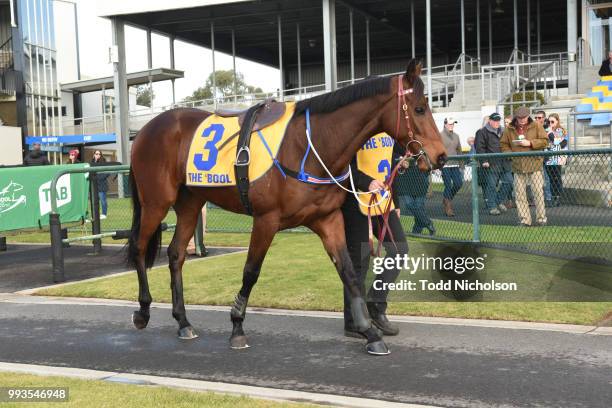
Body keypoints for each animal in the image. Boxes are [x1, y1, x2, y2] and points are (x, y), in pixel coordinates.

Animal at [126, 59, 448, 354]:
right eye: (420, 108)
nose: (441, 156)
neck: (308, 146)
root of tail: (145, 130)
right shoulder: (266, 220)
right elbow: (251, 271)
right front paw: (237, 326)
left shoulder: (328, 219)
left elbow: (348, 271)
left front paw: (370, 332)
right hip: (156, 202)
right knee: (140, 247)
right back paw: (143, 311)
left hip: (190, 203)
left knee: (176, 255)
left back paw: (183, 322)